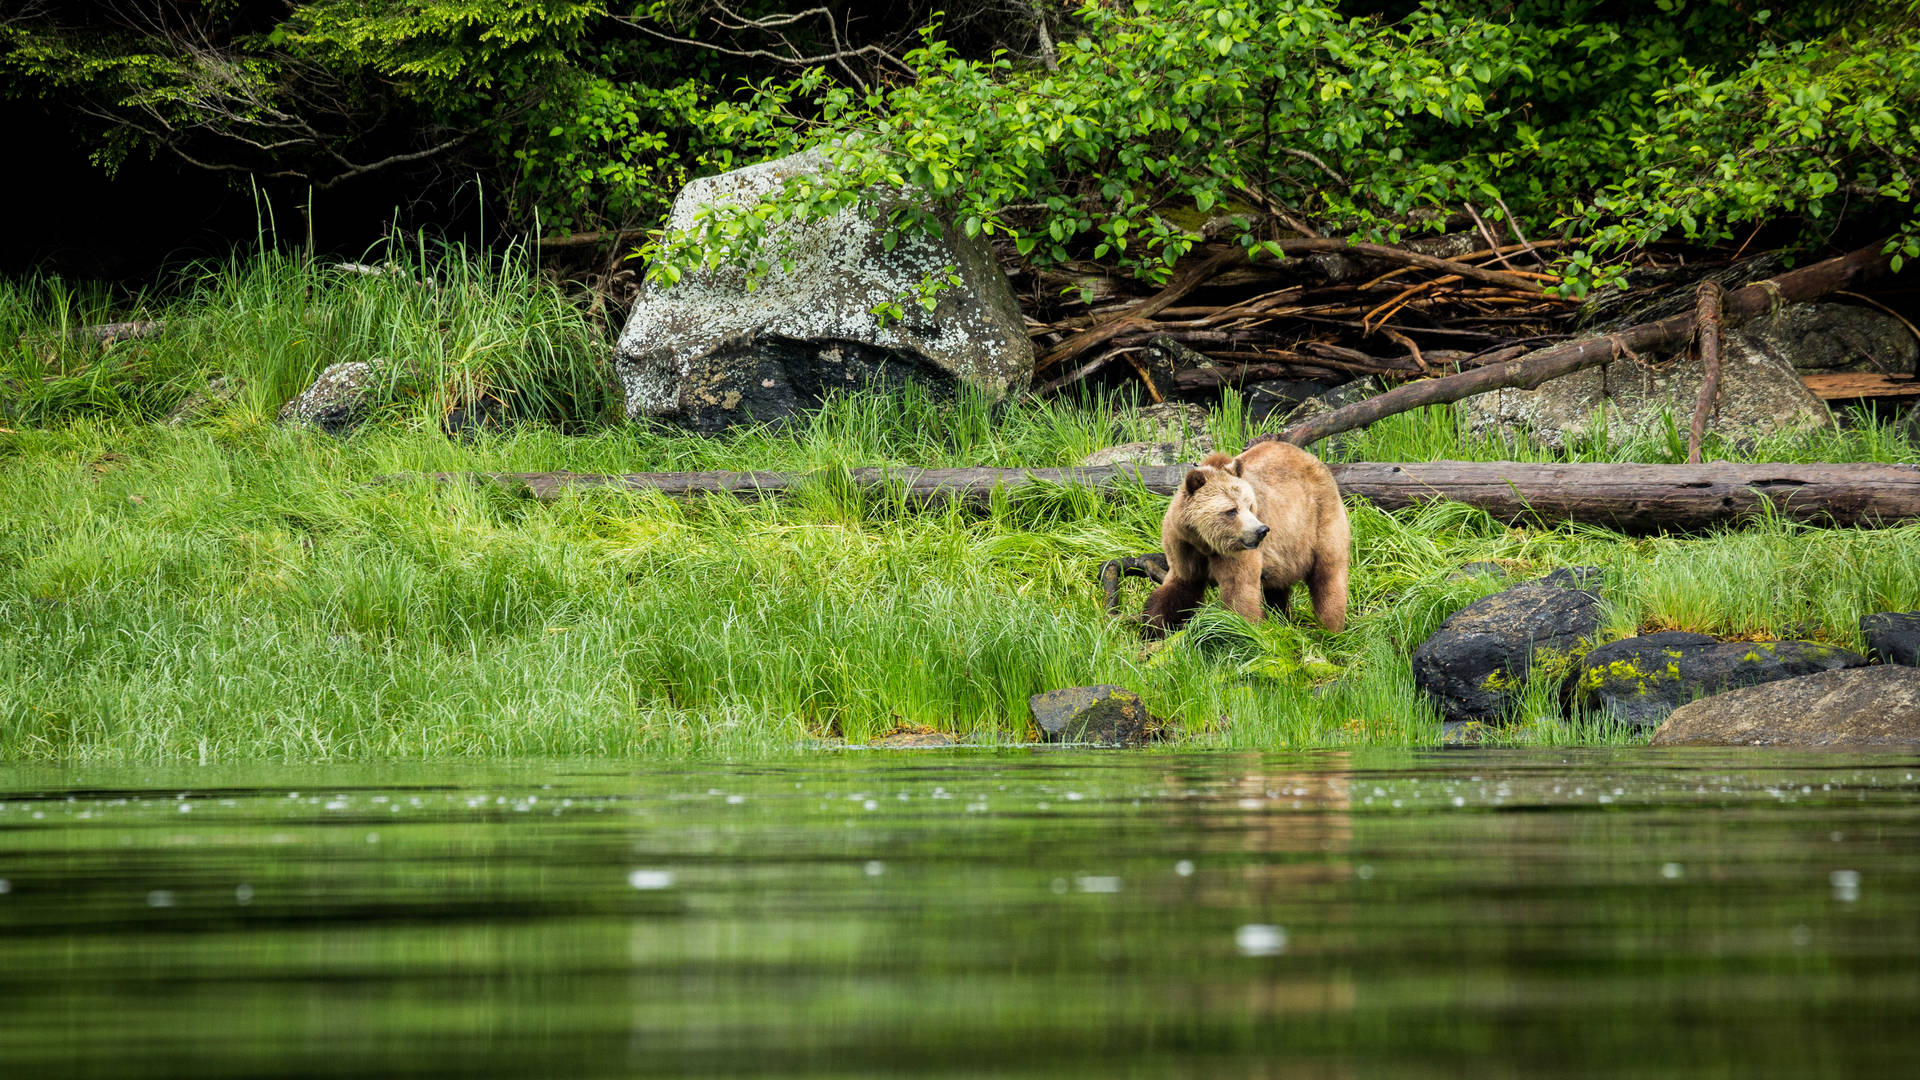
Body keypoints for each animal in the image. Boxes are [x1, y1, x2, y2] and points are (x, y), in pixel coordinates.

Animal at [1136, 441, 1351, 634]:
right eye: (1231, 510)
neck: (1204, 542)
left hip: (1319, 520)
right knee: (1277, 589)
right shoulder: (1184, 547)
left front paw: (1239, 630)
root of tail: (1312, 458)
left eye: (1250, 506)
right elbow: (1179, 587)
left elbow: (1239, 592)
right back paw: (1281, 618)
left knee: (1329, 575)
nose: (1261, 530)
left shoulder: (1235, 553)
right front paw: (1153, 627)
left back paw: (1329, 629)